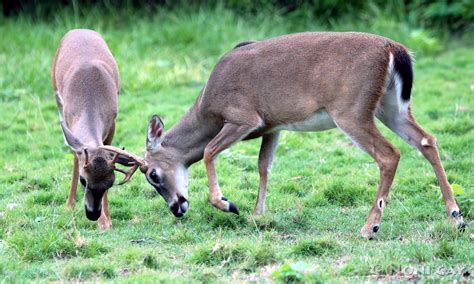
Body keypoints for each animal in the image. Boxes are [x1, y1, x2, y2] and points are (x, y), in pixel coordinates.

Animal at [52, 28, 137, 229]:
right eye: (83, 180)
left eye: (111, 183)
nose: (92, 214)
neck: (89, 98)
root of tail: (79, 29)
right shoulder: (69, 121)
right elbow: (76, 156)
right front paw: (70, 204)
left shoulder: (112, 123)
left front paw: (106, 221)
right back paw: (70, 203)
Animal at [101, 32, 466, 239]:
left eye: (152, 174)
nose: (178, 208)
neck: (208, 107)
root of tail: (396, 50)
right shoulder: (273, 126)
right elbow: (264, 166)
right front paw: (258, 215)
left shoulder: (243, 116)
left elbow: (207, 152)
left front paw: (228, 204)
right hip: (391, 106)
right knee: (427, 140)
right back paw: (456, 216)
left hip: (351, 109)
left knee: (390, 154)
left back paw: (369, 228)